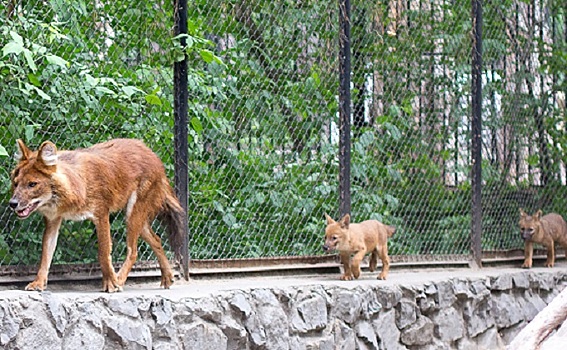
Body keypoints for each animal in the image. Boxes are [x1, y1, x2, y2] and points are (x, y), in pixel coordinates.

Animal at [8, 138, 184, 292]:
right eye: (16, 183)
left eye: (32, 184)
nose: (12, 203)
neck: (77, 185)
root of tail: (153, 155)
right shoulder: (52, 220)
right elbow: (45, 256)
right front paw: (38, 283)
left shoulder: (101, 214)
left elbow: (104, 253)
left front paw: (111, 284)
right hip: (137, 217)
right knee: (157, 240)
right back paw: (167, 277)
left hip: (133, 213)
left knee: (133, 251)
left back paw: (119, 280)